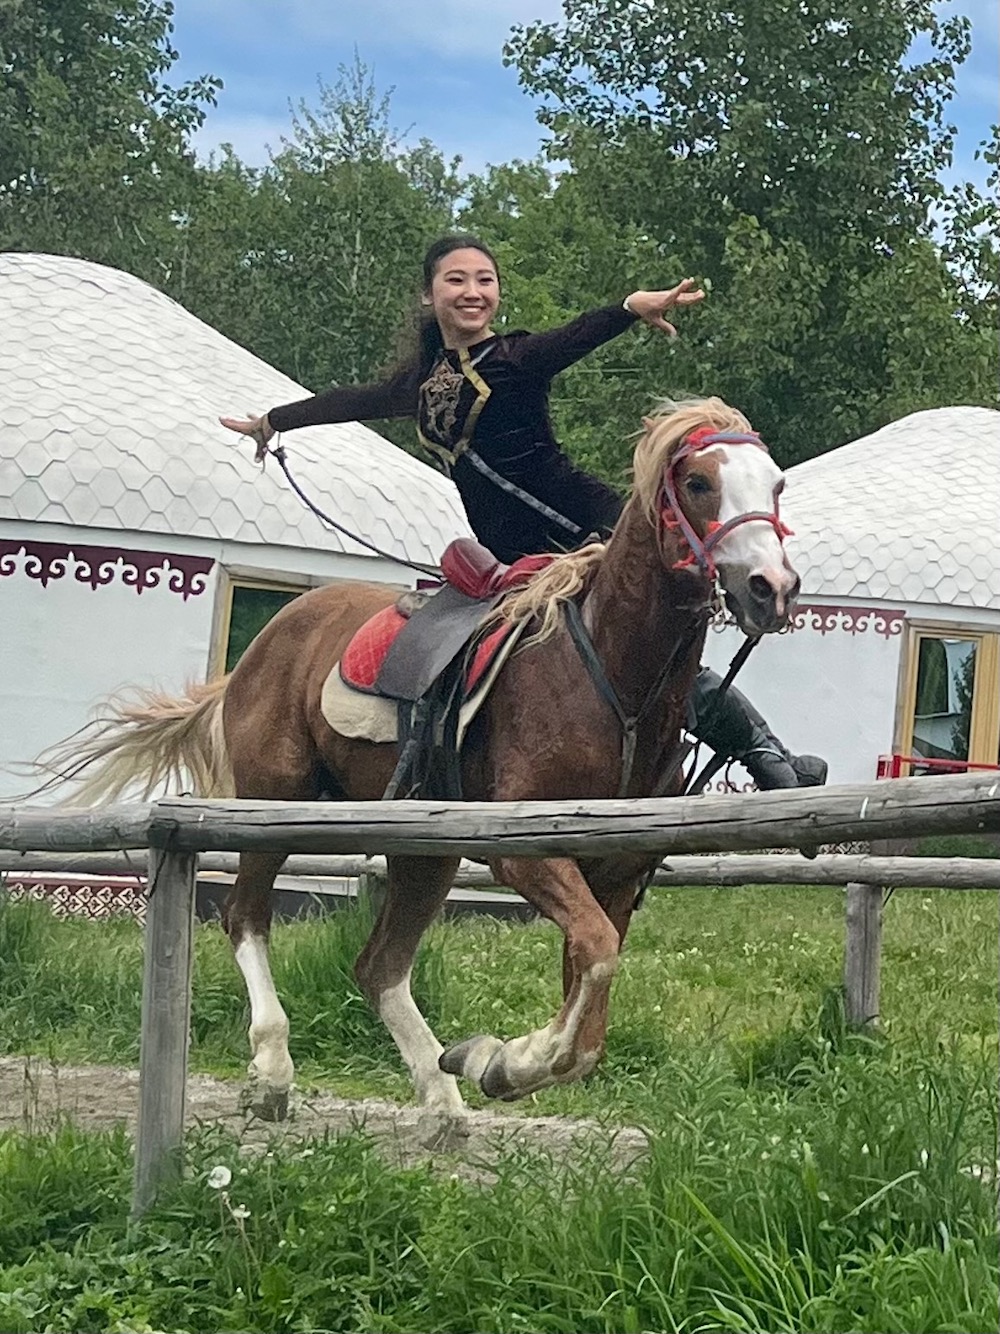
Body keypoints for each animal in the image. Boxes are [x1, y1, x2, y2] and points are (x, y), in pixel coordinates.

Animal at [39, 397, 805, 1136]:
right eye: (699, 483)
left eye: (776, 484)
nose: (771, 587)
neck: (617, 682)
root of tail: (265, 644)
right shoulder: (528, 851)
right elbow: (593, 963)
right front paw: (507, 1061)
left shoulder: (615, 873)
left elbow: (589, 1013)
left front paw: (495, 1061)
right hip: (274, 807)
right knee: (246, 916)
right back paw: (274, 1071)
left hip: (423, 850)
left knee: (378, 966)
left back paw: (442, 1102)